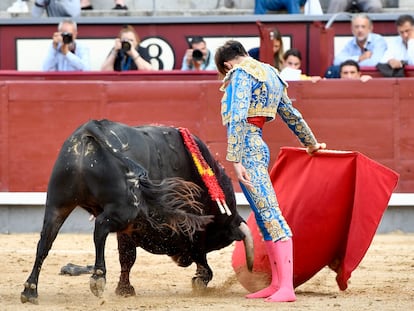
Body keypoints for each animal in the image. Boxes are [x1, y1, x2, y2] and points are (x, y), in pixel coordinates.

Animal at [21, 119, 254, 304]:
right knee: (100, 227)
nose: (183, 261)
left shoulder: (131, 230)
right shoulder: (180, 230)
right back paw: (98, 278)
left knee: (45, 242)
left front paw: (124, 290)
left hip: (57, 204)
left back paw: (30, 290)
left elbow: (127, 256)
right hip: (123, 212)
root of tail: (90, 128)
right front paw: (200, 279)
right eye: (216, 239)